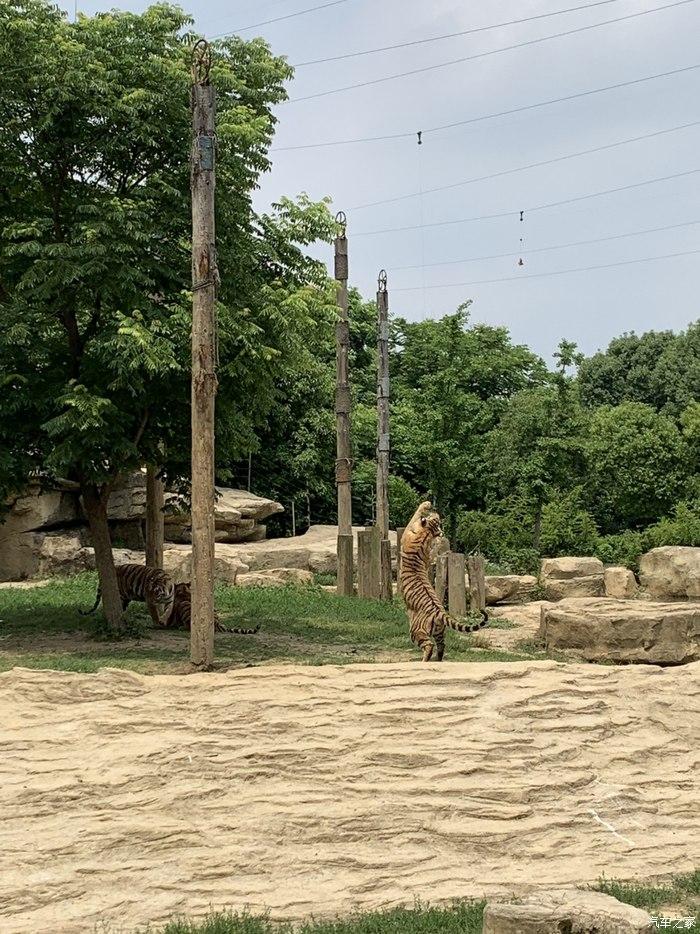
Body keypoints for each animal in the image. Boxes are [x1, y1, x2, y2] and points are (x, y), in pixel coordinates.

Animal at [400, 500, 486, 660]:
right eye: (437, 520)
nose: (437, 512)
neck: (426, 533)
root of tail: (439, 612)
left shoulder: (406, 534)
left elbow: (414, 515)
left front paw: (425, 504)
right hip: (439, 631)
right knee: (441, 646)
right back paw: (438, 660)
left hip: (415, 630)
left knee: (429, 645)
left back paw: (425, 660)